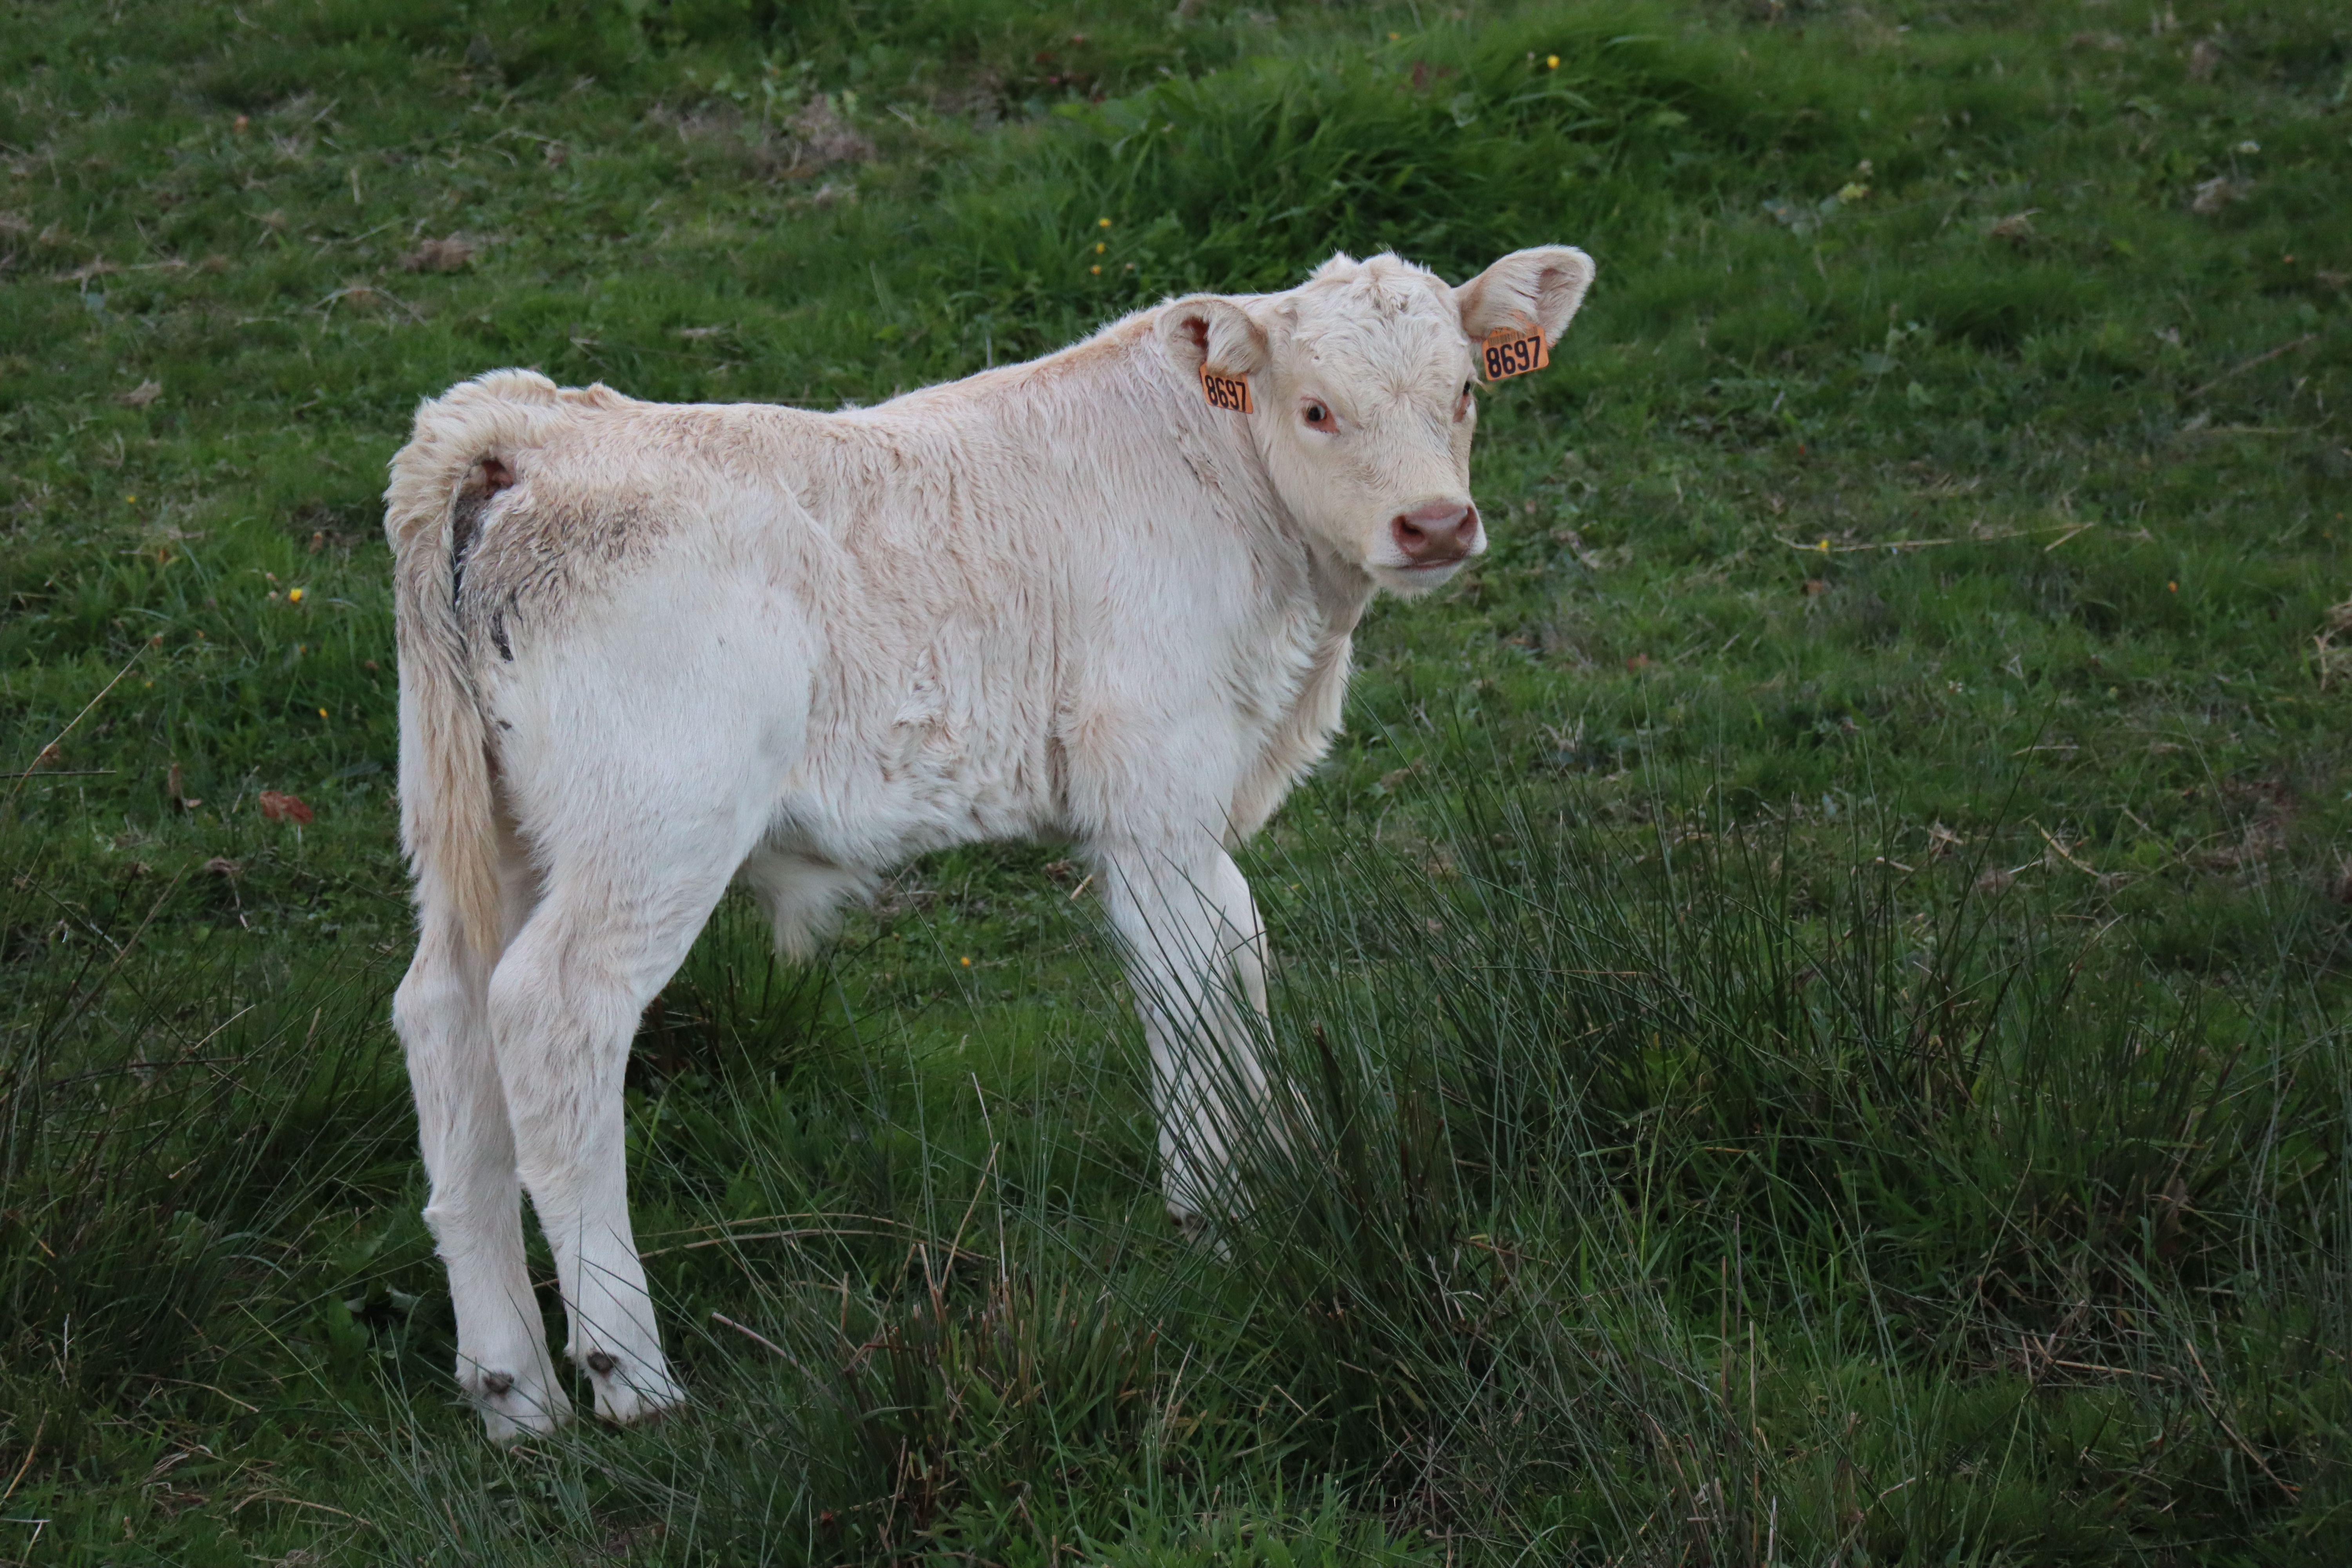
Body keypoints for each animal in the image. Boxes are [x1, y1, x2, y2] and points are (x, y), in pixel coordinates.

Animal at [384, 245, 1596, 1437]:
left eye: (1464, 391)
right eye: (1315, 409)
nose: (1434, 525)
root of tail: (528, 426)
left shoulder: (1192, 801)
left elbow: (1238, 948)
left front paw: (1274, 1165)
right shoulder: (1150, 790)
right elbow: (1184, 979)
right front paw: (1221, 1212)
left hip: (492, 833)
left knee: (446, 1015)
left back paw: (513, 1388)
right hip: (656, 819)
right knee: (553, 1014)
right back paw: (631, 1376)